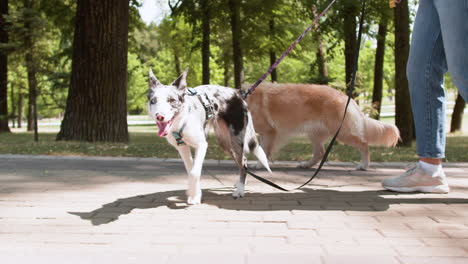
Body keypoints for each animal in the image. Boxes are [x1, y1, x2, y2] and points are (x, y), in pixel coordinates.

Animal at [146, 68, 270, 204]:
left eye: (172, 100)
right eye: (153, 101)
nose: (160, 116)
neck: (182, 120)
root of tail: (238, 94)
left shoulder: (202, 145)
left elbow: (194, 172)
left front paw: (194, 195)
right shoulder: (182, 147)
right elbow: (190, 170)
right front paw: (194, 193)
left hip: (236, 139)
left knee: (242, 163)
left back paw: (240, 190)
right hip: (225, 143)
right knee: (243, 161)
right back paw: (240, 184)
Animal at [245, 81, 398, 170]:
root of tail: (345, 97)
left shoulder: (269, 132)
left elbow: (263, 151)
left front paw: (259, 165)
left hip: (342, 132)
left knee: (364, 144)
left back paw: (364, 165)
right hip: (315, 133)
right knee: (320, 152)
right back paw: (306, 164)